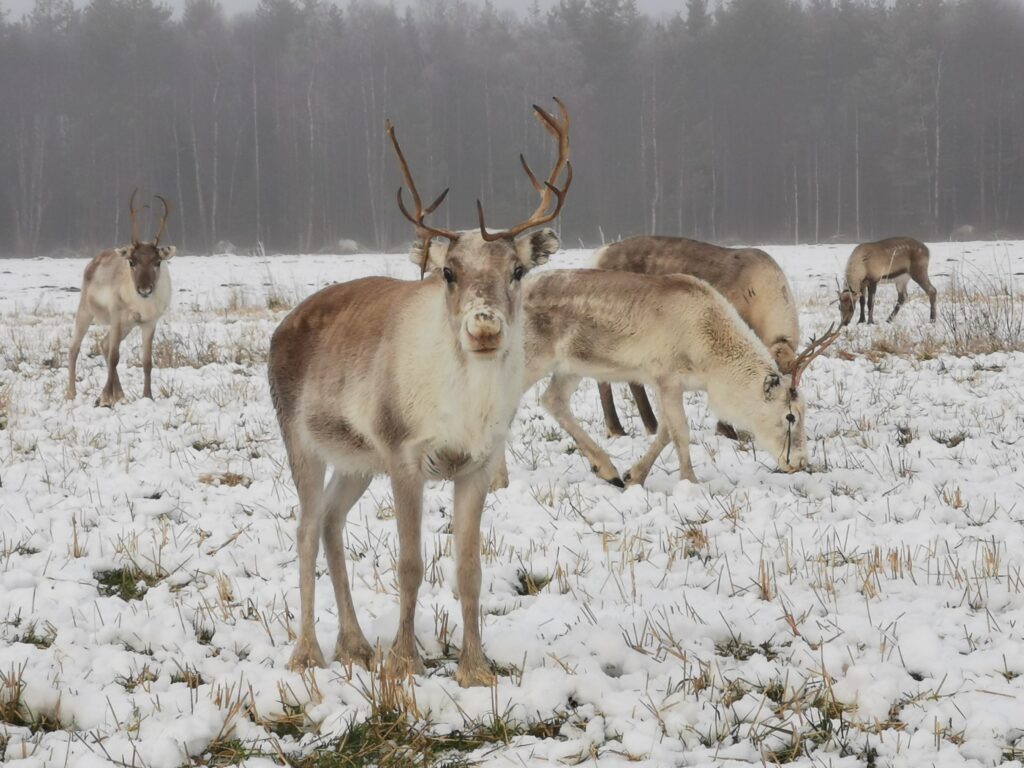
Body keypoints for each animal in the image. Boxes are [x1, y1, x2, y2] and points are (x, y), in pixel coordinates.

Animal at [67, 191, 175, 407]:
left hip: (128, 325)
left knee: (104, 344)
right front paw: (104, 398)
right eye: (132, 261)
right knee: (75, 348)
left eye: (157, 261)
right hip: (87, 310)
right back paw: (72, 394)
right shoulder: (117, 316)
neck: (142, 305)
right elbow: (114, 357)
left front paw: (147, 396)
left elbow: (147, 361)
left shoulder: (149, 323)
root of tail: (92, 263)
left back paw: (121, 395)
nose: (144, 289)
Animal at [267, 99, 571, 687]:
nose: (484, 327)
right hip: (302, 441)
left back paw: (356, 645)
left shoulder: (478, 462)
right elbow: (409, 564)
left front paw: (475, 669)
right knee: (306, 528)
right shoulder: (404, 454)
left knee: (333, 523)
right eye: (448, 272)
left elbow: (469, 568)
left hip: (357, 460)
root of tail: (281, 327)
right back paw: (307, 652)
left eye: (518, 269)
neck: (465, 410)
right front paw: (405, 662)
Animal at [491, 269, 840, 490]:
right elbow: (680, 432)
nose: (799, 462)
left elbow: (664, 432)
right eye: (790, 416)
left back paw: (608, 471)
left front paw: (633, 476)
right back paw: (500, 481)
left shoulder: (666, 385)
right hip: (530, 359)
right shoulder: (667, 378)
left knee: (553, 400)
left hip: (571, 367)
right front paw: (691, 482)